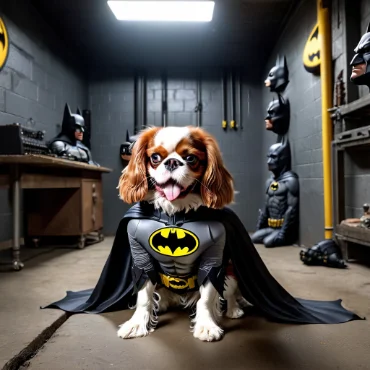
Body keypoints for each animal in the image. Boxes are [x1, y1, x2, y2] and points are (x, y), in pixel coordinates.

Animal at [115, 125, 249, 342]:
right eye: (155, 157)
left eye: (190, 158)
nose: (172, 162)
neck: (175, 213)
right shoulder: (141, 257)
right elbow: (144, 295)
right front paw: (136, 324)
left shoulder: (213, 259)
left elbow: (207, 297)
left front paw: (206, 326)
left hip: (230, 272)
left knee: (228, 293)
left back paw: (233, 309)